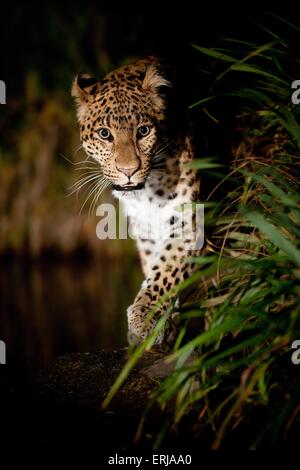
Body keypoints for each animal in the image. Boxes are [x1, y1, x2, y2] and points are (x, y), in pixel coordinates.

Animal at [72, 57, 202, 346]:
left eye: (143, 131)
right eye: (105, 134)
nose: (129, 170)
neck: (148, 192)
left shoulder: (188, 224)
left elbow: (165, 271)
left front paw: (144, 316)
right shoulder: (145, 232)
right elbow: (155, 267)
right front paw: (163, 322)